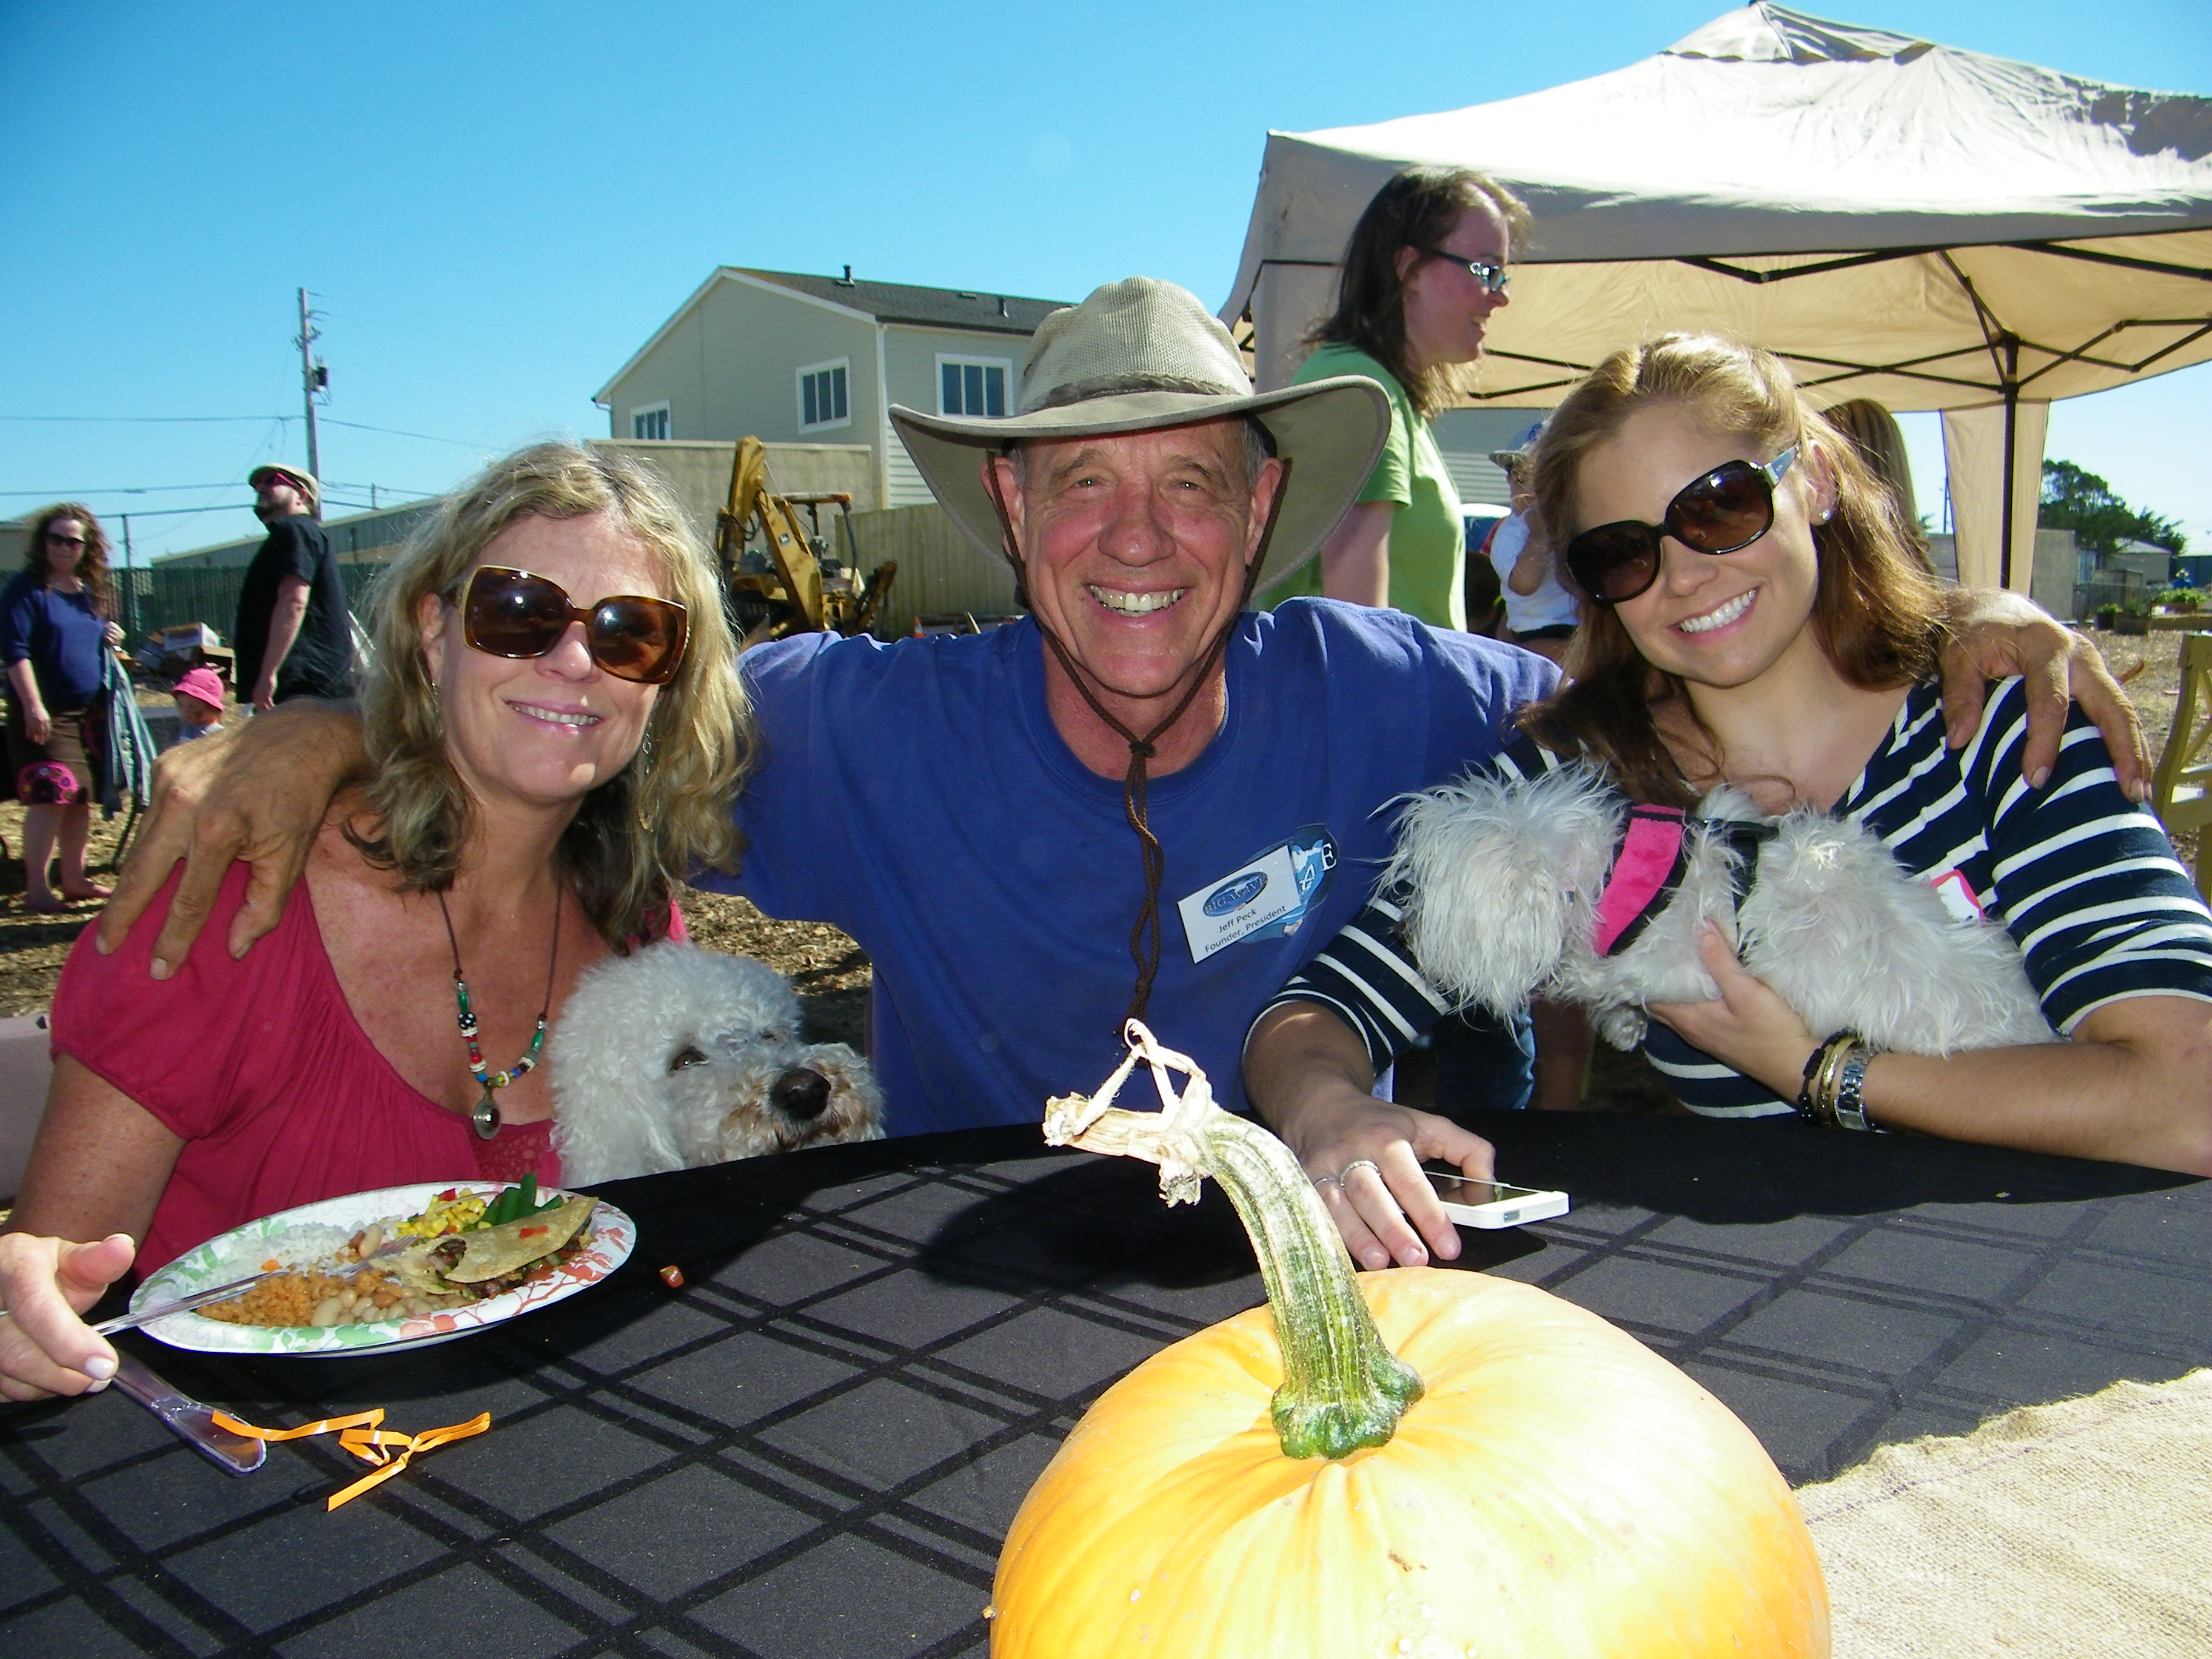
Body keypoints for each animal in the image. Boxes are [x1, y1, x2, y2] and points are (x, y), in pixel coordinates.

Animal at [1387, 763, 2056, 1057]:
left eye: (1422, 894)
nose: (1403, 934)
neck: (1624, 872)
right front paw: (1622, 1023)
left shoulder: (1678, 964)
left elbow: (1601, 974)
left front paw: (1598, 995)